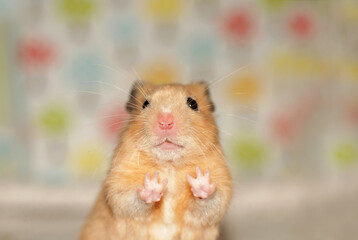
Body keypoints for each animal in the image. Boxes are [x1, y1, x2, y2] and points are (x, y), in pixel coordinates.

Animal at [79, 81, 234, 240]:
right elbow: (131, 197)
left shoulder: (220, 190)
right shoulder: (118, 187)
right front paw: (152, 184)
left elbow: (211, 200)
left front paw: (201, 180)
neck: (170, 165)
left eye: (193, 103)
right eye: (145, 104)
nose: (165, 122)